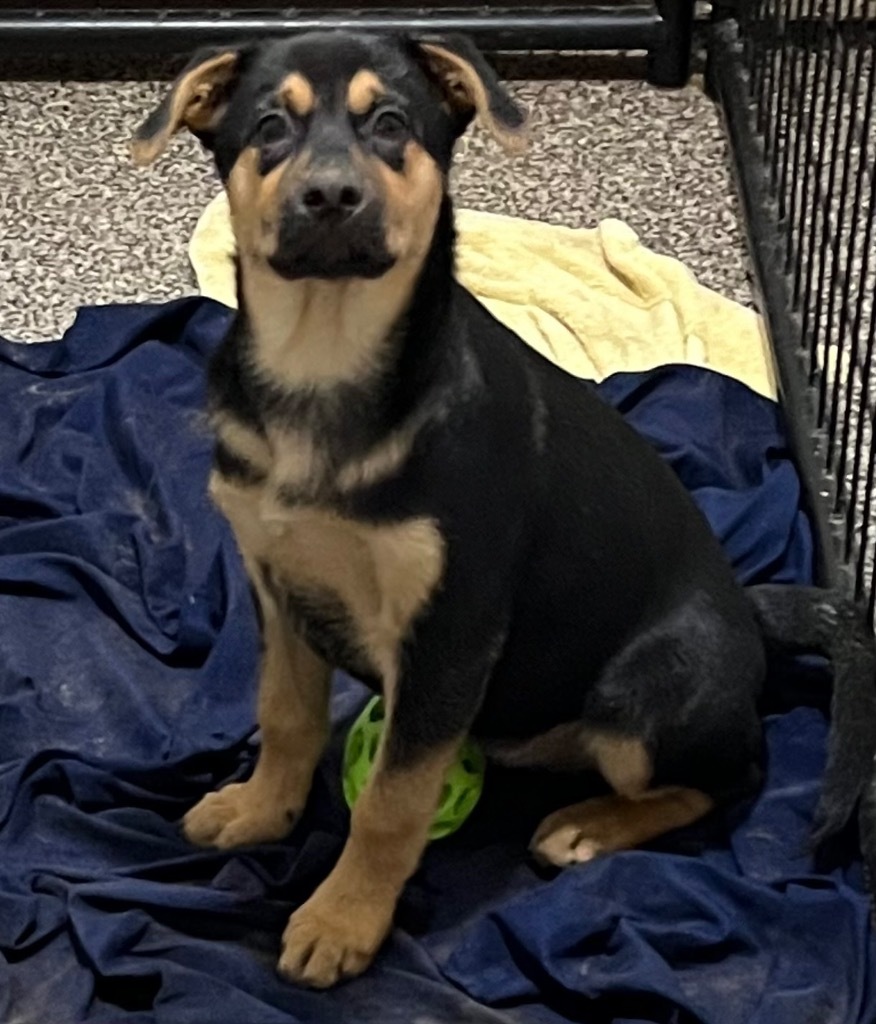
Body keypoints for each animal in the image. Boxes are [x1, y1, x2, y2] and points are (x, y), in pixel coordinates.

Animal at [130, 32, 876, 987]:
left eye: (390, 125)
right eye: (268, 128)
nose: (330, 196)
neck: (324, 361)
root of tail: (749, 612)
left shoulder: (451, 632)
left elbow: (392, 800)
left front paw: (343, 920)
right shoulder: (278, 583)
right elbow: (285, 716)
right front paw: (261, 810)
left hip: (643, 693)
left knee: (736, 772)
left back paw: (589, 826)